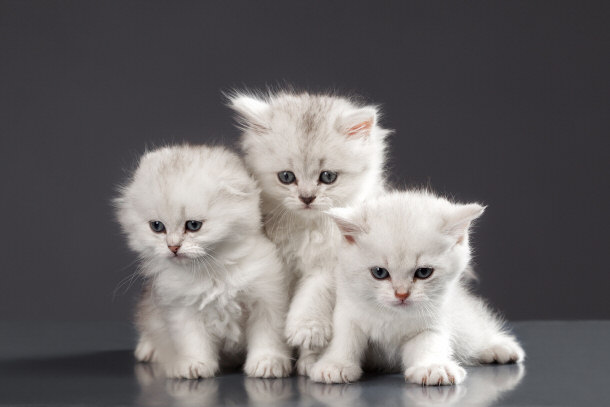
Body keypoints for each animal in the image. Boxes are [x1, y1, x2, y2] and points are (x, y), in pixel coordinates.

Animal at [117, 145, 294, 380]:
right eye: (157, 227)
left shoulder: (268, 298)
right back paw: (150, 349)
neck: (213, 272)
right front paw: (194, 365)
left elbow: (267, 336)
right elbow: (193, 341)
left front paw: (267, 363)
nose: (173, 247)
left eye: (193, 225)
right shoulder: (182, 307)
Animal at [227, 90, 390, 376]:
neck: (307, 228)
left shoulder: (329, 266)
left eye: (327, 177)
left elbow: (313, 296)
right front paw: (272, 358)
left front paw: (307, 331)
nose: (306, 198)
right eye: (286, 177)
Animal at [308, 191, 524, 386]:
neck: (393, 316)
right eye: (379, 272)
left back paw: (499, 348)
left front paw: (433, 367)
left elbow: (429, 343)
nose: (401, 294)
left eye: (423, 272)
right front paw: (335, 364)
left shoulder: (434, 321)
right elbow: (346, 337)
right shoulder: (348, 310)